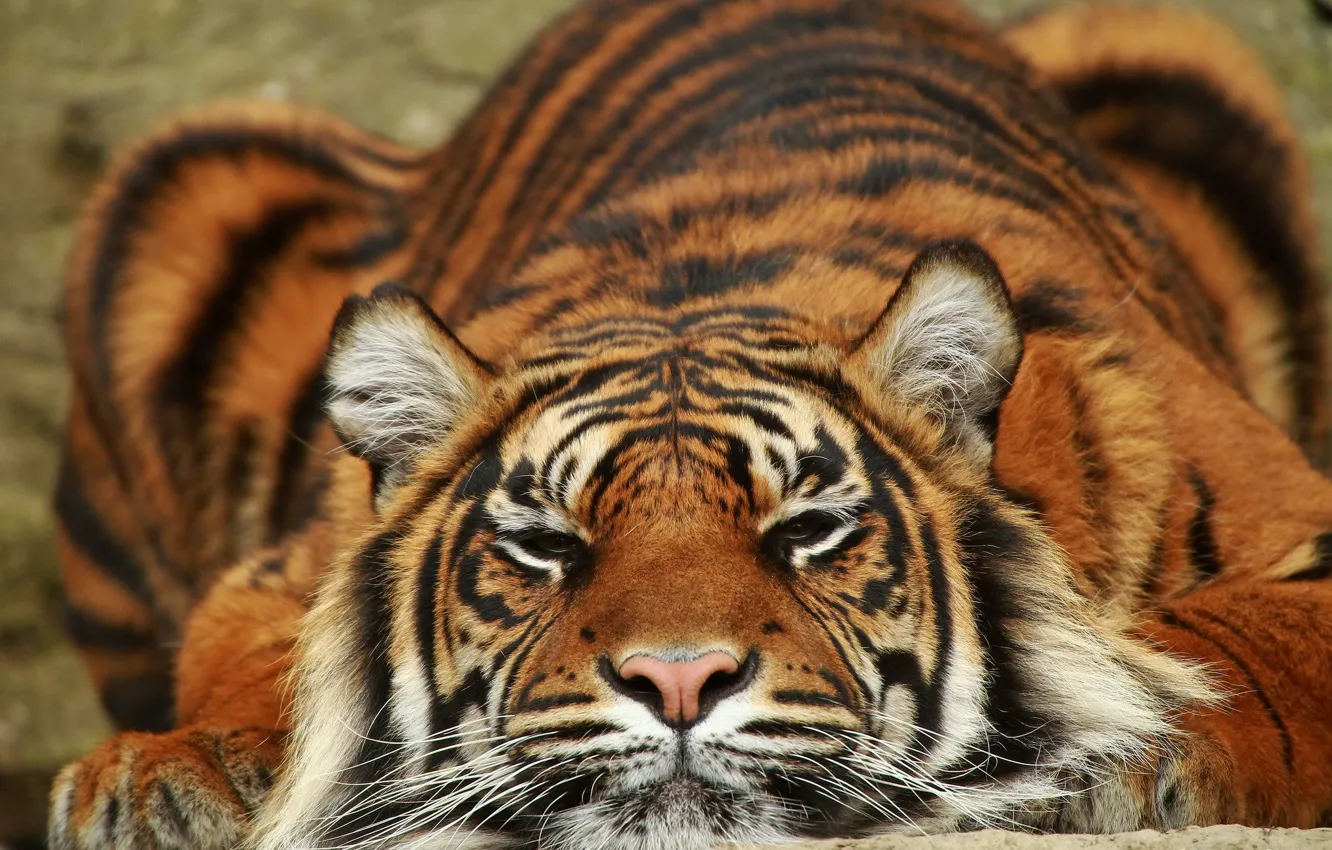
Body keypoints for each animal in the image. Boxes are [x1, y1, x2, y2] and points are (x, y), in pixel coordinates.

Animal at [46, 0, 1332, 848]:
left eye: (806, 531)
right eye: (546, 546)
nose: (677, 682)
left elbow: (1236, 640)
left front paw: (1120, 736)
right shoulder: (283, 568)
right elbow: (268, 661)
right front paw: (180, 776)